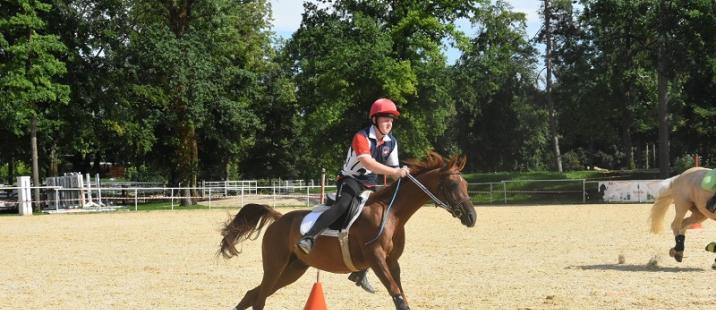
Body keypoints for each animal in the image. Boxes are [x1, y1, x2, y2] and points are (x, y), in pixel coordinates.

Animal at [218, 151, 476, 308]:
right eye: (453, 185)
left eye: (466, 184)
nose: (472, 217)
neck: (391, 213)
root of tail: (280, 219)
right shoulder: (377, 259)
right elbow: (398, 297)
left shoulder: (392, 263)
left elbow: (401, 297)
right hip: (275, 266)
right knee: (259, 298)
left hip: (293, 269)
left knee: (253, 294)